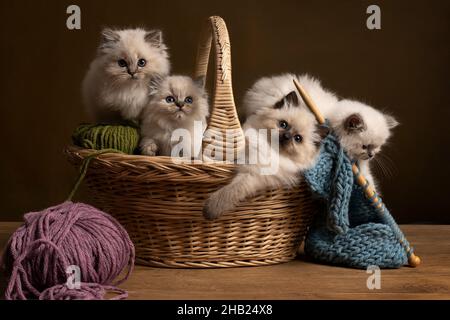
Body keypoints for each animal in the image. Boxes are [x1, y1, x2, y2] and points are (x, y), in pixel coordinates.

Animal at [203, 90, 326, 220]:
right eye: (283, 124)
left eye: (298, 138)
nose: (286, 136)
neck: (268, 148)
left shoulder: (253, 175)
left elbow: (231, 190)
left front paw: (209, 210)